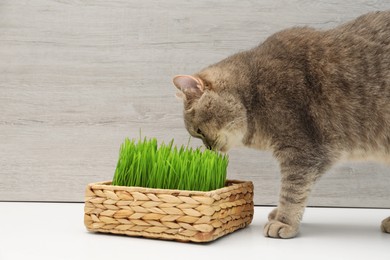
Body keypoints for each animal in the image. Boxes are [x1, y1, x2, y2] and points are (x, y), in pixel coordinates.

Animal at [173, 10, 390, 238]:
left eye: (198, 131)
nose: (209, 149)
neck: (253, 92)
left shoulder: (303, 151)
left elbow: (291, 192)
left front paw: (284, 222)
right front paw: (279, 214)